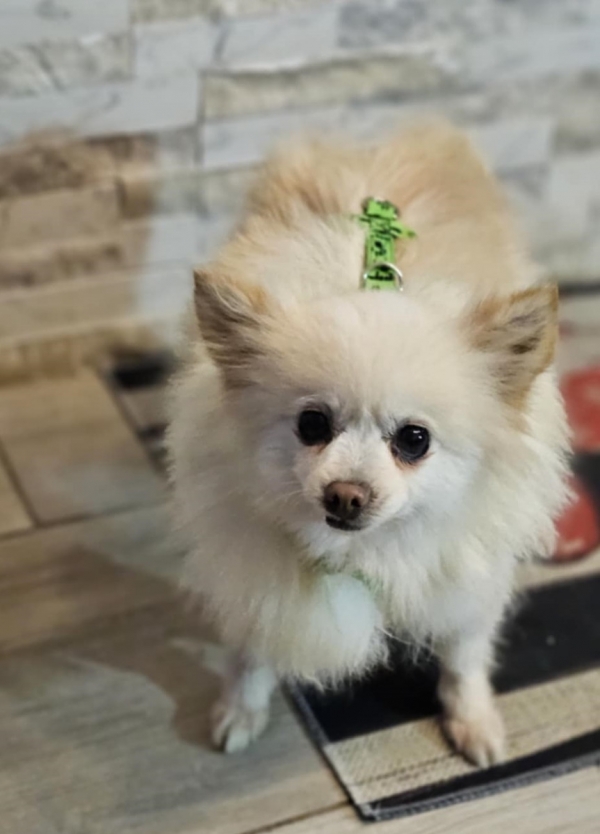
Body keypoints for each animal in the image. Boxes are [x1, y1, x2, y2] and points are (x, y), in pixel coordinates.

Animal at [167, 121, 569, 765]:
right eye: (311, 425)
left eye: (414, 439)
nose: (346, 495)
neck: (367, 550)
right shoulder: (254, 572)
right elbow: (253, 649)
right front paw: (241, 710)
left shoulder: (467, 575)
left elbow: (464, 654)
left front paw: (474, 721)